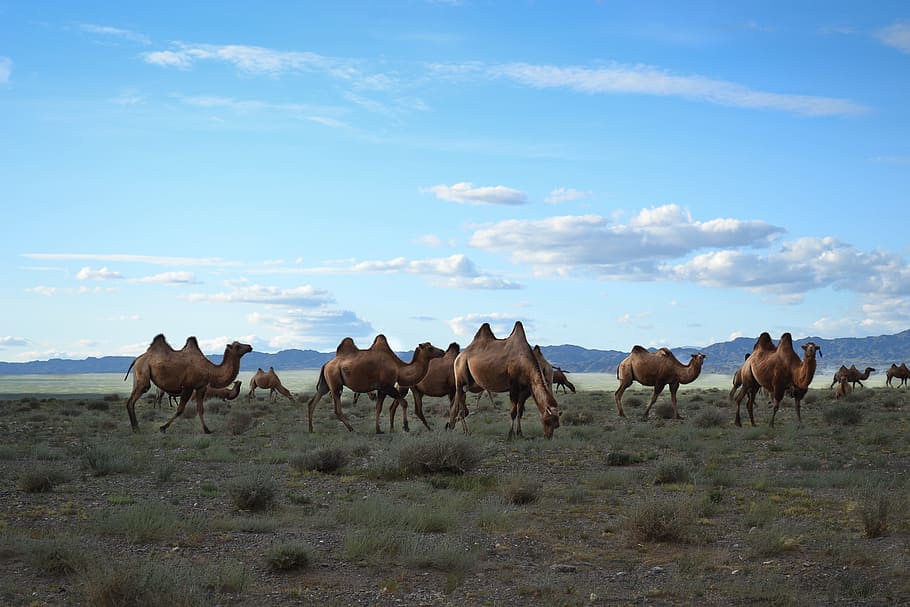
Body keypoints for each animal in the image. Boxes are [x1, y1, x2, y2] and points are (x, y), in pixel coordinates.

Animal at [124, 334, 253, 434]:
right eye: (237, 346)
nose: (250, 347)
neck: (210, 370)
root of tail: (137, 359)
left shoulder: (201, 387)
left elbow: (200, 409)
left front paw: (207, 430)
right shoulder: (188, 387)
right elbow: (180, 410)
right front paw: (163, 427)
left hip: (138, 375)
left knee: (131, 400)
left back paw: (135, 428)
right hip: (143, 373)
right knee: (132, 400)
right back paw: (136, 429)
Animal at [305, 335, 445, 433]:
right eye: (430, 348)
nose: (442, 351)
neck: (398, 368)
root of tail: (326, 364)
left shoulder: (381, 389)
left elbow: (378, 407)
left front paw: (378, 430)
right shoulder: (386, 386)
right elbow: (404, 403)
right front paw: (406, 427)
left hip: (325, 383)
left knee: (313, 402)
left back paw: (311, 429)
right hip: (335, 382)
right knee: (336, 407)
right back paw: (351, 429)